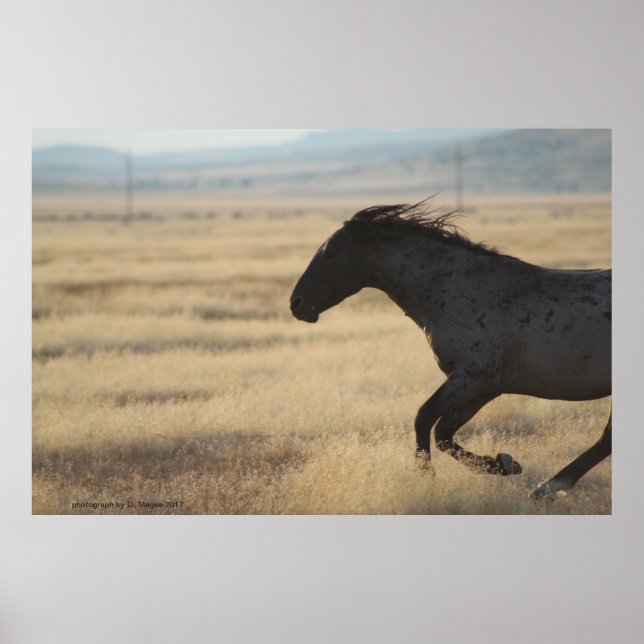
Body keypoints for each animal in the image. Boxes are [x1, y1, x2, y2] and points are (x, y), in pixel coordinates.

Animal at [289, 202, 611, 501]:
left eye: (331, 253)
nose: (297, 304)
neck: (462, 291)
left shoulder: (470, 378)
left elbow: (424, 418)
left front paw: (427, 480)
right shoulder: (485, 387)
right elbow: (443, 433)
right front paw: (503, 463)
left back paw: (546, 488)